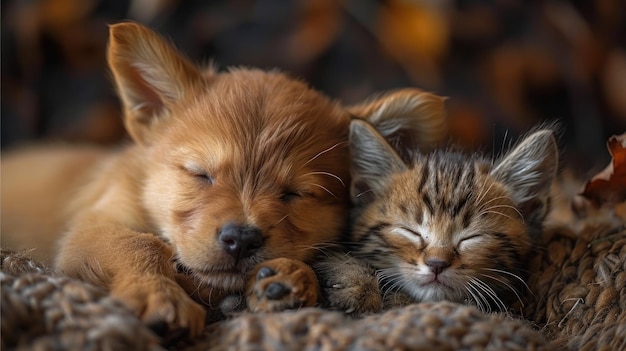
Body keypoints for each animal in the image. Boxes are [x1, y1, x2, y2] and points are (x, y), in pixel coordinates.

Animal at [2, 22, 446, 336]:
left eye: (296, 193)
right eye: (200, 174)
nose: (241, 239)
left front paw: (292, 280)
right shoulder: (90, 229)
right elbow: (140, 244)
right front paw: (157, 294)